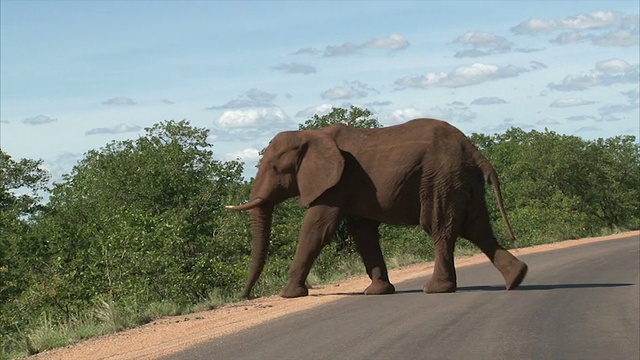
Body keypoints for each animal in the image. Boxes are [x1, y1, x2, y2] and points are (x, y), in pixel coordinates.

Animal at [228, 118, 528, 298]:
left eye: (274, 168)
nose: (244, 295)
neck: (312, 135)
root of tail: (475, 150)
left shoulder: (337, 183)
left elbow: (316, 228)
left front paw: (288, 294)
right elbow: (362, 232)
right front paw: (378, 292)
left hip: (441, 177)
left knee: (440, 227)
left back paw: (435, 289)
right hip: (462, 179)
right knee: (478, 227)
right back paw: (516, 278)